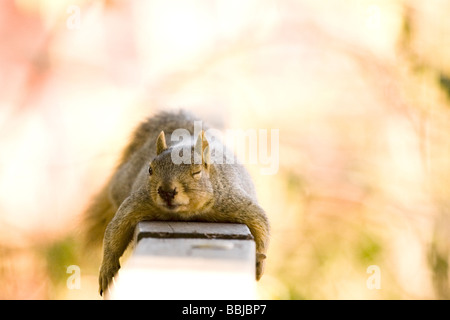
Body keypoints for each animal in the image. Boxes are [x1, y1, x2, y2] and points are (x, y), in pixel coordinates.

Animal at [82, 110, 268, 296]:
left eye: (197, 172)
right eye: (150, 169)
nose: (166, 191)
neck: (186, 213)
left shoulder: (233, 202)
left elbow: (261, 225)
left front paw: (259, 262)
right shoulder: (138, 203)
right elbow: (116, 230)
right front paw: (107, 269)